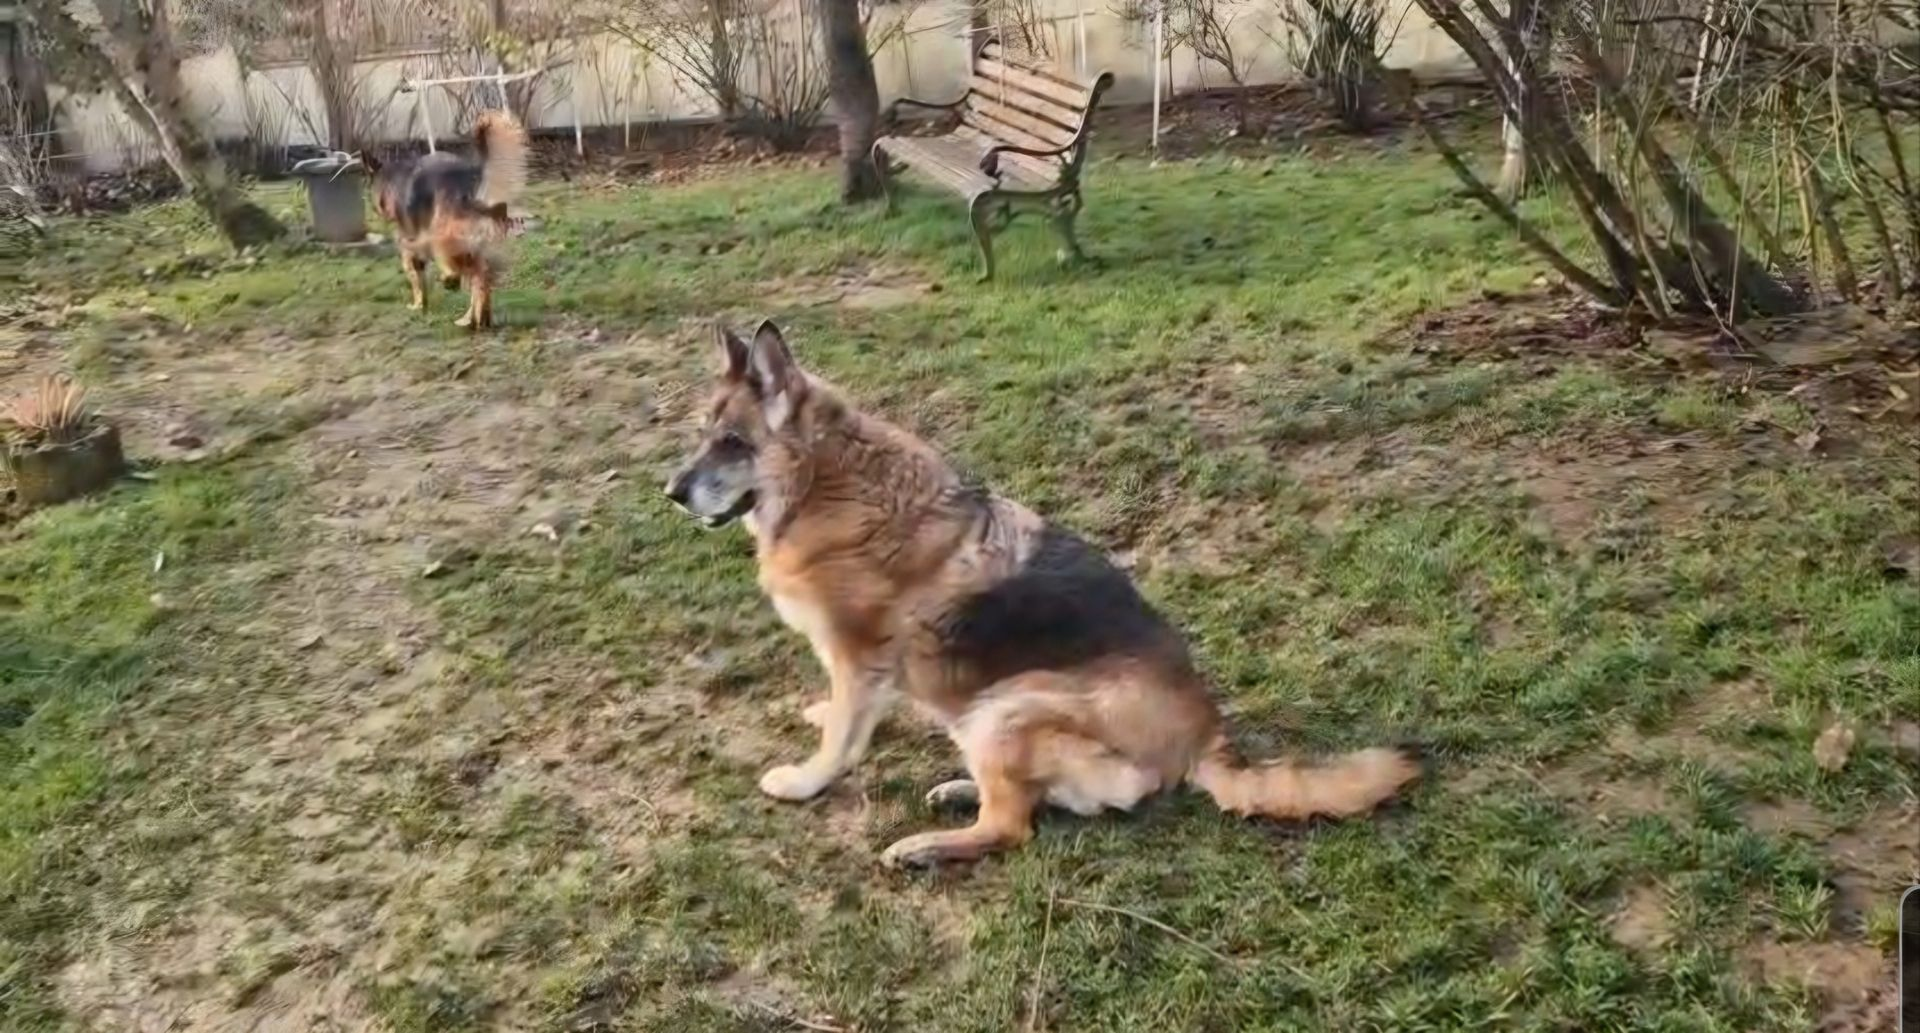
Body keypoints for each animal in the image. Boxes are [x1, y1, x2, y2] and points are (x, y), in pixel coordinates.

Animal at [363, 111, 526, 330]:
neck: (392, 180)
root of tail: (474, 174)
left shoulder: (409, 243)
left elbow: (414, 276)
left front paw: (418, 304)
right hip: (476, 247)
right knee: (481, 280)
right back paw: (475, 318)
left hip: (442, 236)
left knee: (466, 273)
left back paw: (453, 287)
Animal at [665, 322, 1422, 867]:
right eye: (704, 436)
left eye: (732, 443)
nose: (670, 492)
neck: (826, 480)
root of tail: (1206, 738)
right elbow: (846, 715)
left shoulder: (858, 656)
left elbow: (842, 741)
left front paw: (805, 779)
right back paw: (958, 791)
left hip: (1005, 709)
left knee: (1011, 827)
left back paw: (927, 846)